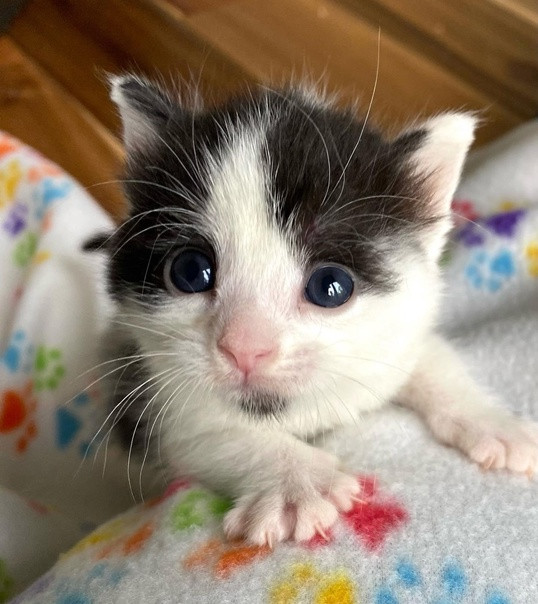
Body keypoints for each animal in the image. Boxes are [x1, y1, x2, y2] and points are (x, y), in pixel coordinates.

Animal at [87, 74, 538, 546]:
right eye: (190, 271)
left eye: (331, 287)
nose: (245, 349)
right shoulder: (151, 393)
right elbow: (210, 433)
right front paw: (297, 484)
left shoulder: (398, 333)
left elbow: (431, 359)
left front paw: (494, 423)